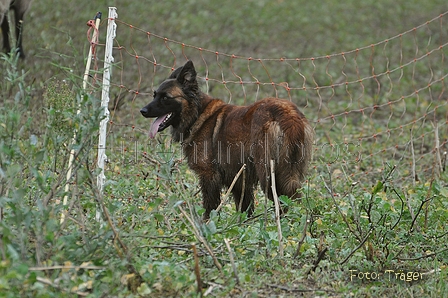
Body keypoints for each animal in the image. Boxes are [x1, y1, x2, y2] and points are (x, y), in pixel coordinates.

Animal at [142, 60, 314, 219]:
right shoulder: (239, 180)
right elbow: (245, 211)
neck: (197, 114)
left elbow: (210, 207)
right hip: (289, 173)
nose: (142, 111)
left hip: (269, 176)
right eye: (154, 95)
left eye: (165, 98)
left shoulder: (209, 176)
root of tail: (289, 115)